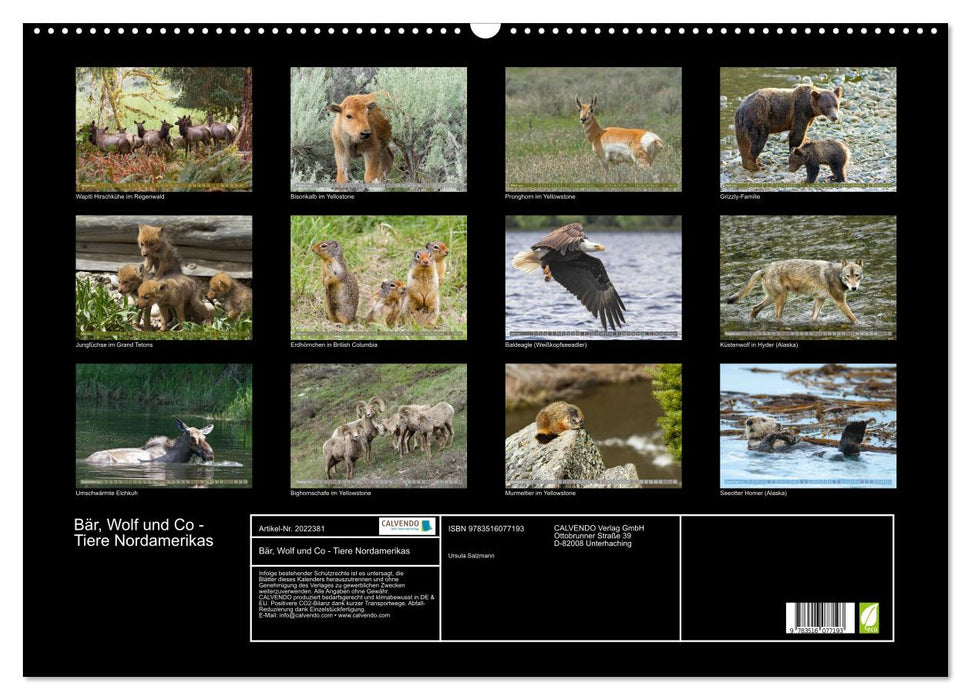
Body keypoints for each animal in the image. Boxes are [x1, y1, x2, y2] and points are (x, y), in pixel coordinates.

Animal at [725, 258, 863, 323]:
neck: (837, 275)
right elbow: (853, 318)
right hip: (782, 299)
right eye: (848, 276)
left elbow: (813, 317)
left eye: (856, 275)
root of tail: (765, 269)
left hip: (772, 298)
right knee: (776, 316)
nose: (853, 288)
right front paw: (861, 324)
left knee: (754, 308)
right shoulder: (840, 302)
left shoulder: (819, 299)